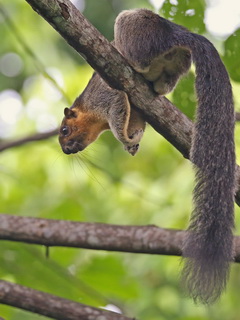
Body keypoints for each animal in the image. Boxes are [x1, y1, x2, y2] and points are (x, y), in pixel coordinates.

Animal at [59, 7, 235, 302]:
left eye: (64, 130)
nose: (66, 149)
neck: (93, 117)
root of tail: (176, 32)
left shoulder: (110, 98)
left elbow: (119, 112)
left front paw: (126, 139)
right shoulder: (137, 112)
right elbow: (136, 121)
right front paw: (134, 141)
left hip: (133, 29)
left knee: (137, 58)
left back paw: (130, 60)